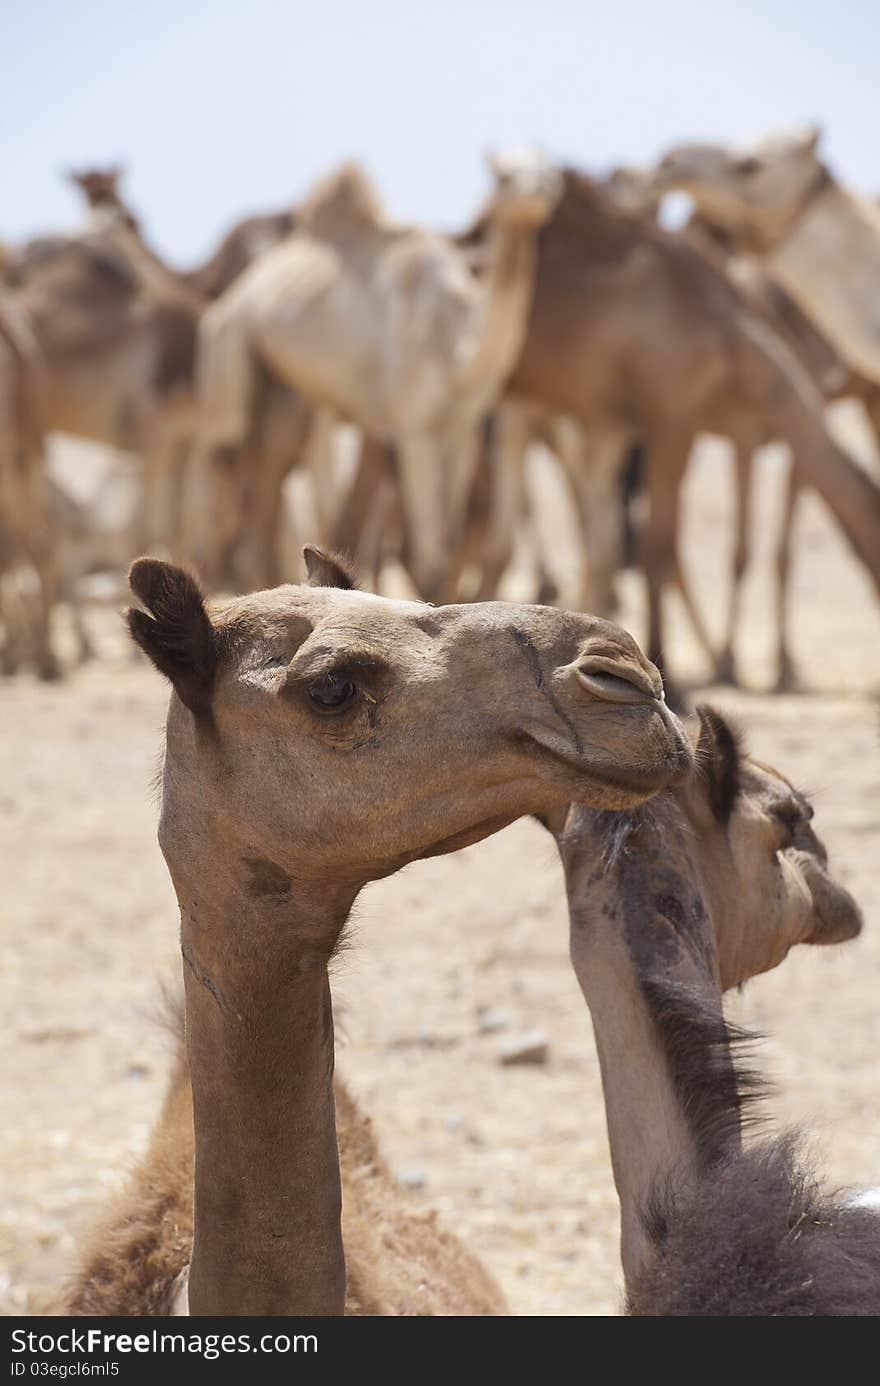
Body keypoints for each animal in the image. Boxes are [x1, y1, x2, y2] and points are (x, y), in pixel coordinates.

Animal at [194, 154, 565, 598]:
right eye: (504, 176)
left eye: (548, 167)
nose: (543, 188)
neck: (456, 346)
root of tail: (232, 298)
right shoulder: (413, 429)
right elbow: (428, 556)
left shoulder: (458, 432)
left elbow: (447, 544)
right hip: (228, 345)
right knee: (222, 450)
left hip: (285, 390)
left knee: (268, 465)